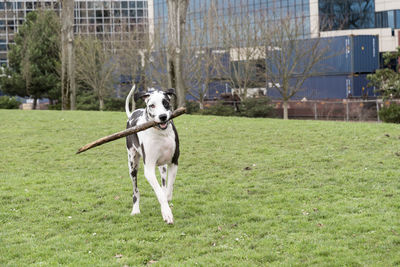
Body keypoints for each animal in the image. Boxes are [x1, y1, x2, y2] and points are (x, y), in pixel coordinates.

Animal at [124, 85, 179, 224]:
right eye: (152, 105)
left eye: (165, 102)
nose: (163, 116)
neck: (161, 133)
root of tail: (132, 114)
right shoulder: (148, 169)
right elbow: (159, 193)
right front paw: (167, 213)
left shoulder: (174, 162)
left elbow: (168, 189)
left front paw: (166, 205)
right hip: (132, 165)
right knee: (135, 191)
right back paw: (135, 210)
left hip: (162, 167)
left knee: (163, 183)